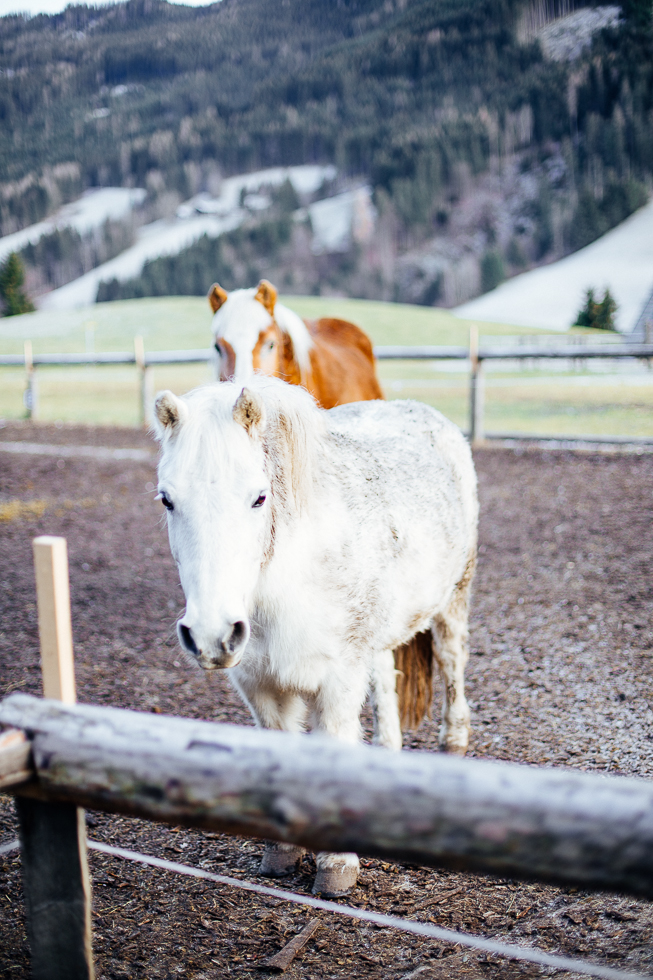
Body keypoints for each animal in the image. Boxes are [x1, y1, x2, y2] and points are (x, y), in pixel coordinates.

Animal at [153, 378, 478, 896]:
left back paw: (454, 745)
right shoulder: (261, 688)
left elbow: (335, 745)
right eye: (167, 499)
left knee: (452, 665)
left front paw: (336, 867)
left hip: (453, 600)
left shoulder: (338, 680)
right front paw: (282, 854)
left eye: (259, 498)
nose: (211, 634)